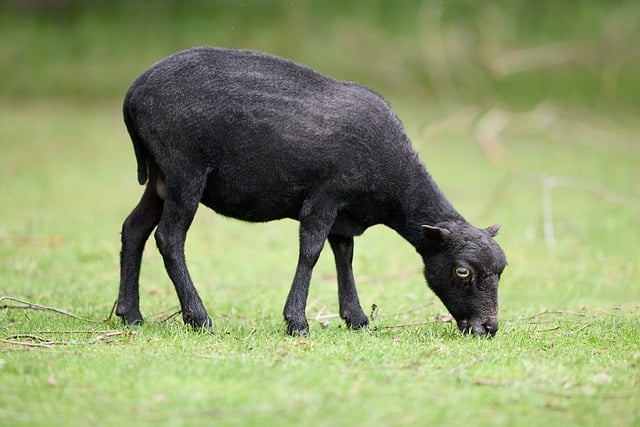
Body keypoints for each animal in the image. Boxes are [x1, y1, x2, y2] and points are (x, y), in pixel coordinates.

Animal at [116, 46, 507, 337]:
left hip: (160, 177)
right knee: (169, 238)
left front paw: (356, 318)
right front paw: (297, 322)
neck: (392, 185)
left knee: (133, 229)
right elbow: (312, 250)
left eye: (501, 271)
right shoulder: (326, 194)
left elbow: (344, 254)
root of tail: (133, 93)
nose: (488, 328)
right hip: (184, 170)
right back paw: (198, 317)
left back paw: (131, 314)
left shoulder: (345, 213)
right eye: (462, 272)